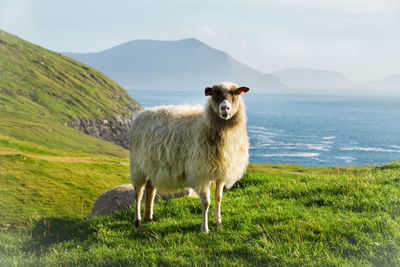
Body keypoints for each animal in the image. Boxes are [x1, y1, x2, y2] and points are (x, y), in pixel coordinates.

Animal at [130, 81, 248, 232]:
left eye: (235, 94)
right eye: (215, 94)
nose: (225, 108)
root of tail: (140, 114)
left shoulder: (221, 172)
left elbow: (219, 198)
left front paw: (218, 223)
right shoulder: (201, 174)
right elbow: (206, 202)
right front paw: (205, 228)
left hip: (153, 166)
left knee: (150, 188)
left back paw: (148, 218)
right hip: (138, 166)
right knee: (138, 194)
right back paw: (137, 221)